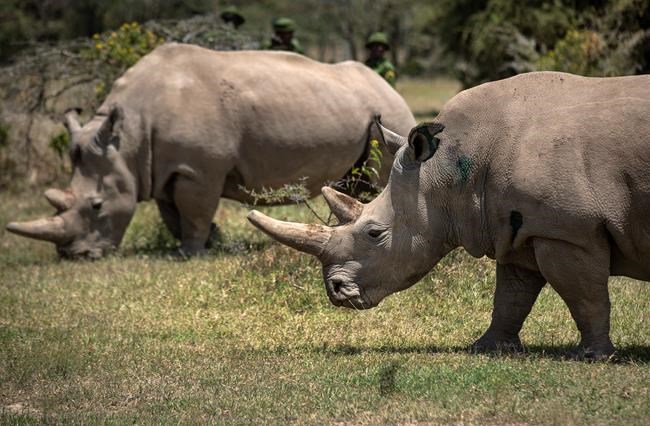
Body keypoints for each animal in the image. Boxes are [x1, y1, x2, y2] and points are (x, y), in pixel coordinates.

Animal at [6, 43, 415, 258]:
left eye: (96, 206)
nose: (76, 256)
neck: (129, 138)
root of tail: (390, 88)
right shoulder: (166, 168)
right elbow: (171, 211)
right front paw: (212, 241)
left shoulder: (198, 169)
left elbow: (193, 211)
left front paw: (192, 253)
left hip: (387, 116)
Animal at [248, 71, 650, 359]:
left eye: (375, 233)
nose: (334, 291)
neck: (444, 172)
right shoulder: (520, 226)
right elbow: (511, 295)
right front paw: (487, 347)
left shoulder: (568, 230)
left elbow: (584, 294)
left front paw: (594, 356)